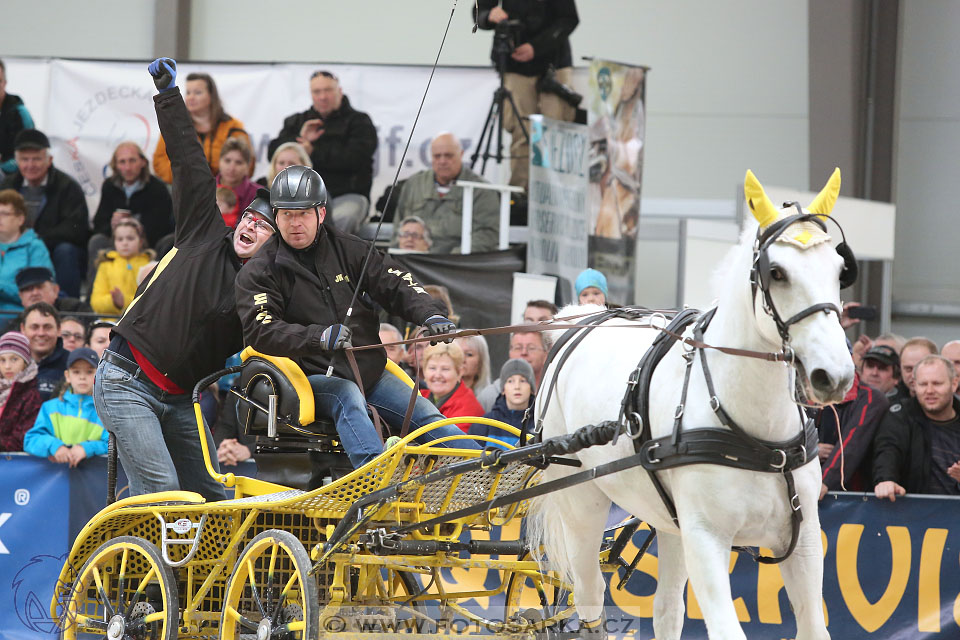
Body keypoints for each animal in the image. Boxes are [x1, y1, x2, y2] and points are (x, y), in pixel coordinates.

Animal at [532, 168, 856, 636]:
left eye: (839, 269)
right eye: (777, 272)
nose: (835, 375)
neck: (758, 440)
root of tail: (578, 322)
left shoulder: (805, 538)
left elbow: (814, 626)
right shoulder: (706, 539)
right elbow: (726, 629)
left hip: (671, 523)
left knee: (667, 609)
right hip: (581, 504)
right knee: (590, 596)